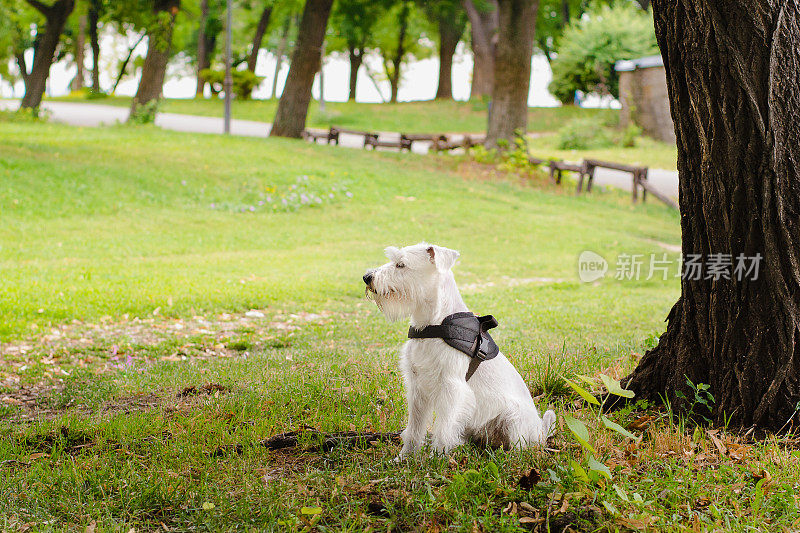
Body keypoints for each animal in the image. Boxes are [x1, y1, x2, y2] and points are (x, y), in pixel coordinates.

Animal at [364, 242, 556, 458]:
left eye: (401, 264)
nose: (367, 277)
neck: (433, 325)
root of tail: (541, 430)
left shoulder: (451, 387)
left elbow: (443, 428)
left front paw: (437, 458)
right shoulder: (417, 387)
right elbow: (414, 428)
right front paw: (405, 458)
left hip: (513, 417)